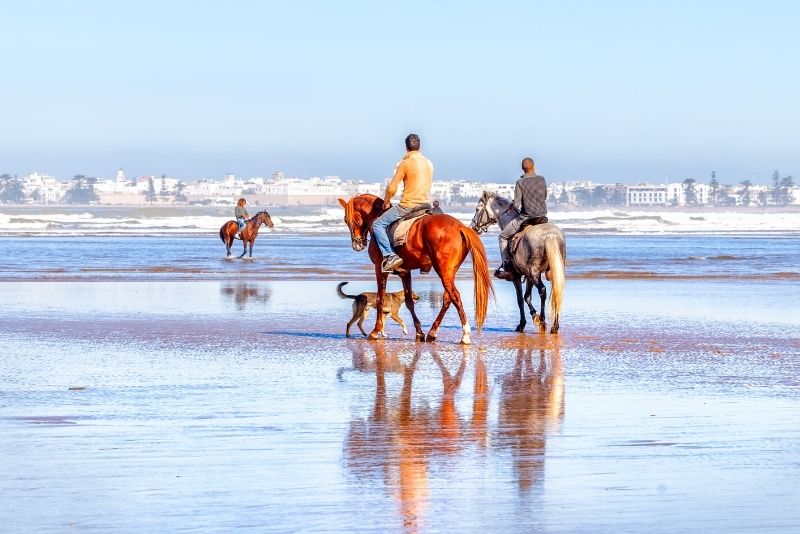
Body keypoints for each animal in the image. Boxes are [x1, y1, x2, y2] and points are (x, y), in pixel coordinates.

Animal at [340, 195, 494, 346]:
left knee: (455, 296)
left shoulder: (380, 268)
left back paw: (465, 334)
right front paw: (419, 332)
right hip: (450, 271)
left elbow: (380, 299)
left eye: (347, 220)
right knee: (447, 298)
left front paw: (375, 331)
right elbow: (409, 301)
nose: (357, 244)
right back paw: (432, 332)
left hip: (442, 270)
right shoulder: (404, 272)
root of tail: (460, 226)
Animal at [472, 193, 564, 336]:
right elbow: (527, 297)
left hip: (535, 272)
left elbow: (520, 299)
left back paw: (543, 321)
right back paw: (554, 326)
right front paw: (534, 316)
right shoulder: (529, 275)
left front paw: (523, 323)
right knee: (556, 292)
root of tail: (550, 235)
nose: (474, 227)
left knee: (542, 291)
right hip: (551, 271)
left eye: (477, 209)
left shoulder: (517, 276)